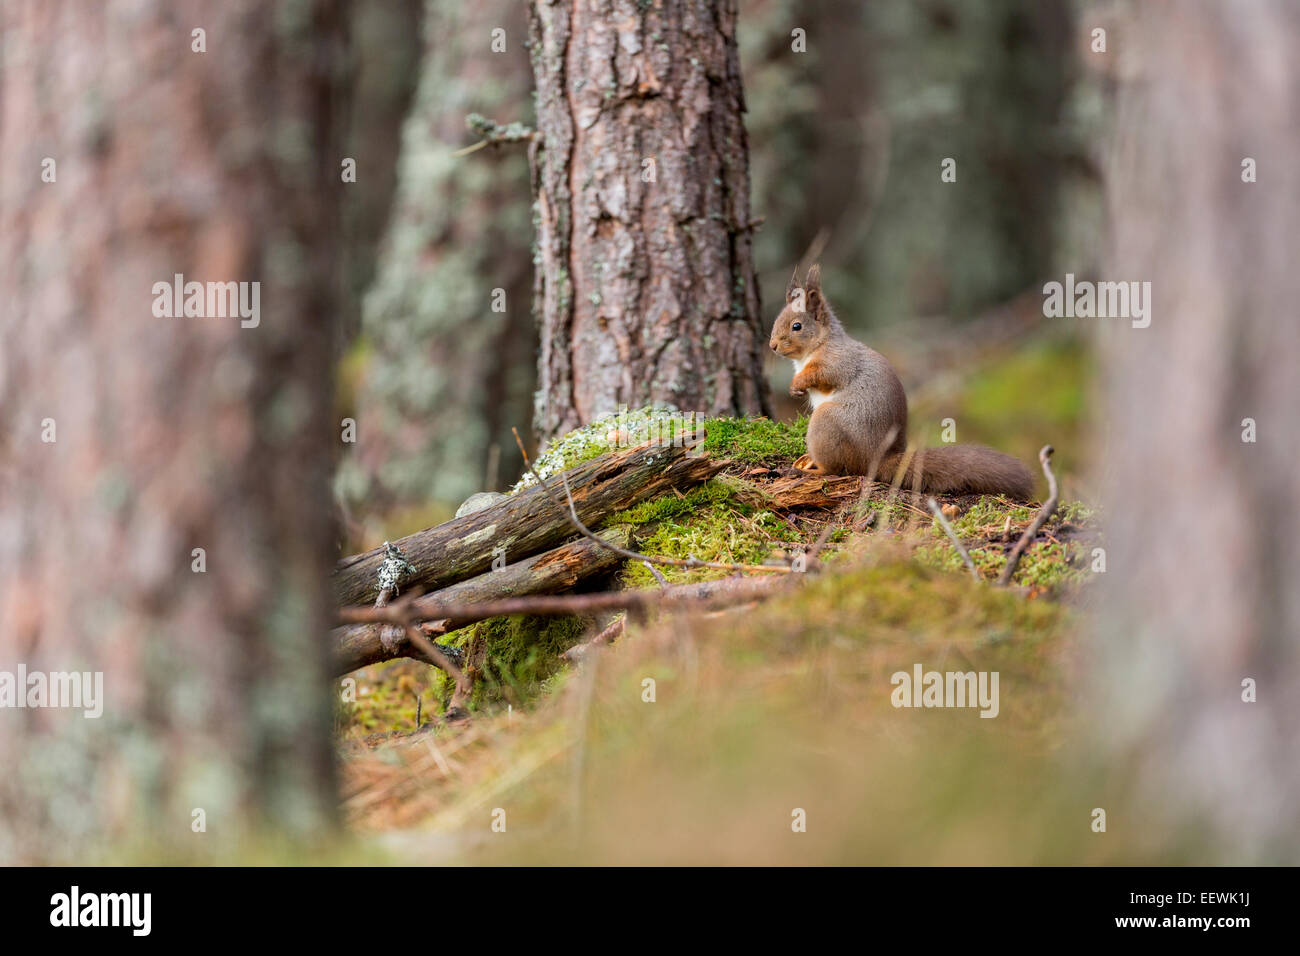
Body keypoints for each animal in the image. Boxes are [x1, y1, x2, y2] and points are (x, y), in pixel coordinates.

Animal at [769, 264, 1034, 502]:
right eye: (776, 320)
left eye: (796, 326)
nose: (772, 345)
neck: (819, 344)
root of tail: (877, 459)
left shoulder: (837, 361)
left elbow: (825, 375)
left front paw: (797, 383)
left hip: (826, 425)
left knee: (836, 469)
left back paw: (810, 469)